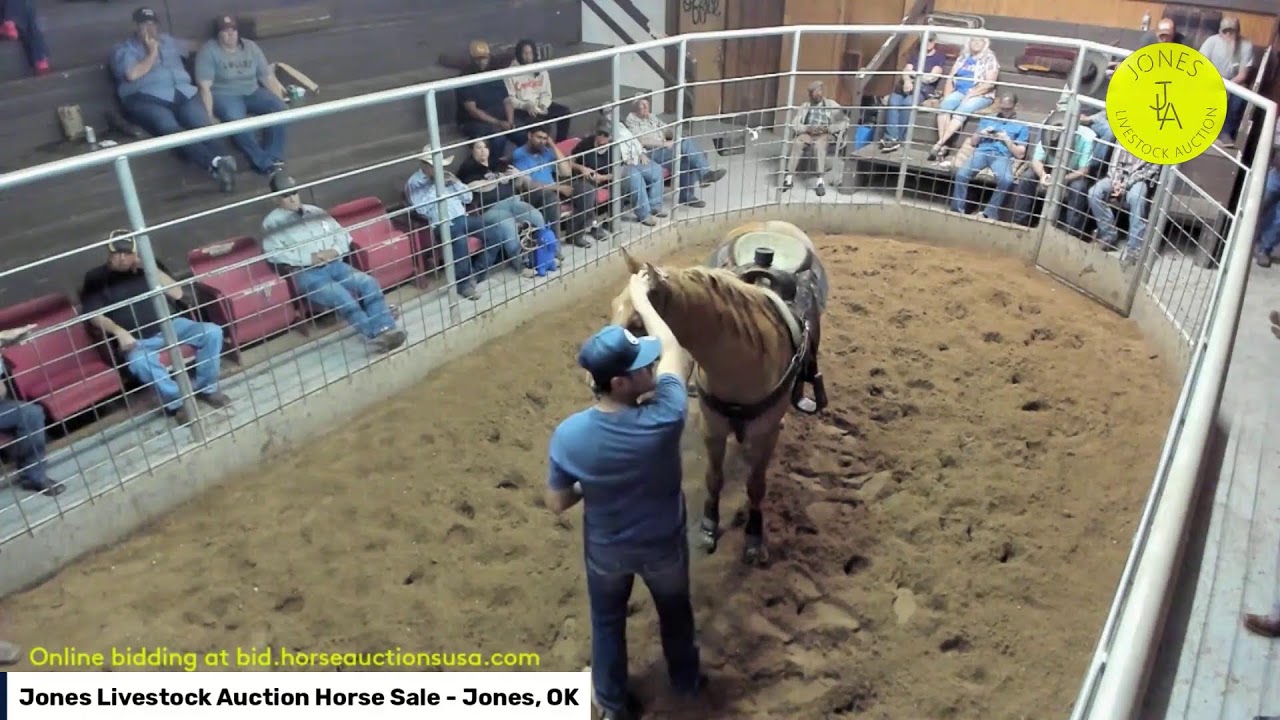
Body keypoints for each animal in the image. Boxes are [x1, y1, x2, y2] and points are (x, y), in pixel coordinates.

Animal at [610, 220, 830, 566]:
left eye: (637, 323)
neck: (739, 362)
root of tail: (775, 225)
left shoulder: (764, 435)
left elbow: (756, 486)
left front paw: (754, 537)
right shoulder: (712, 426)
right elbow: (714, 478)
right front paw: (709, 527)